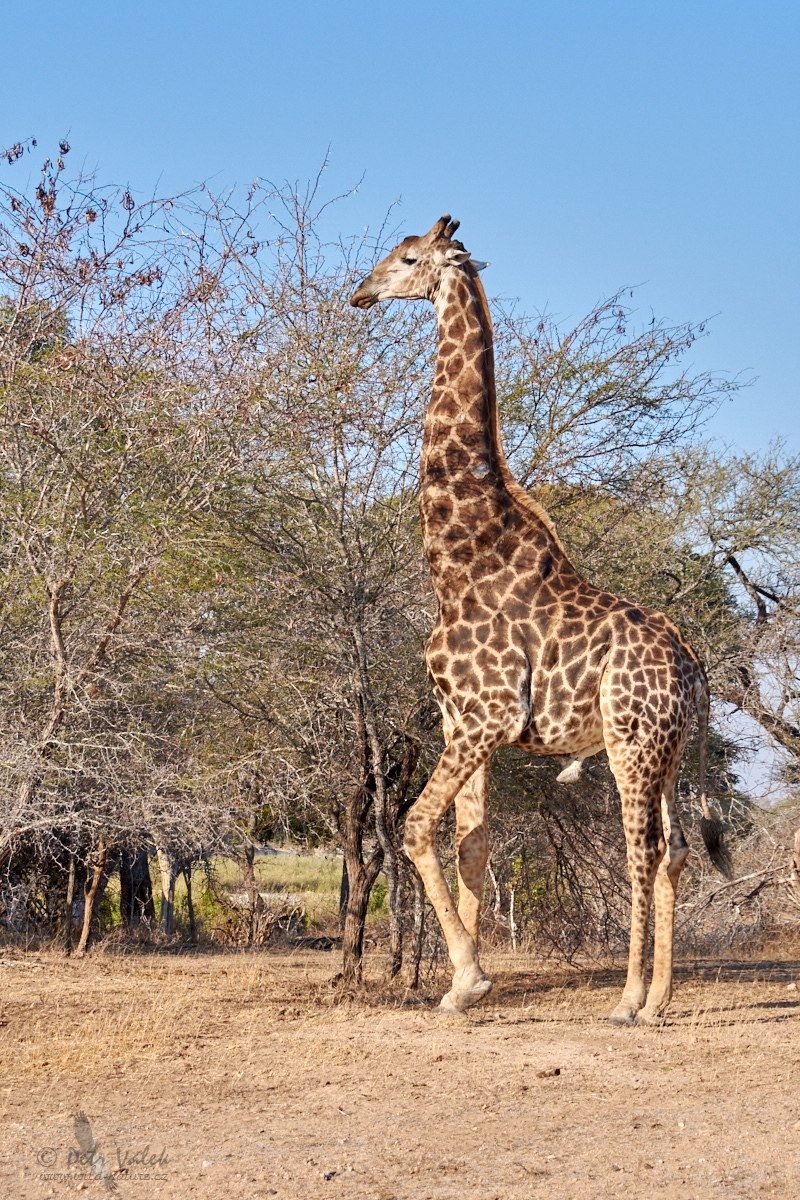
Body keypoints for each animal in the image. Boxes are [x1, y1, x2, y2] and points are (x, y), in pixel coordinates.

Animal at [350, 213, 734, 1022]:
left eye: (406, 257)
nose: (360, 294)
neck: (457, 557)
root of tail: (695, 670)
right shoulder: (462, 720)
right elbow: (470, 846)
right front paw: (460, 985)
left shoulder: (487, 714)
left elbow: (414, 827)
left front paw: (471, 976)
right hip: (670, 753)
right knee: (679, 850)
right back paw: (659, 999)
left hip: (630, 745)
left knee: (643, 851)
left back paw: (626, 999)